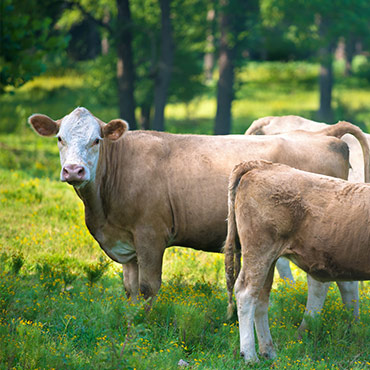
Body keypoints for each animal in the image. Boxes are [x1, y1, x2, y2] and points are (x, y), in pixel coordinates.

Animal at [223, 159, 370, 362]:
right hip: (259, 251)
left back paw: (268, 351)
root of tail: (262, 165)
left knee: (261, 299)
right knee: (246, 294)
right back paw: (250, 355)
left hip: (269, 258)